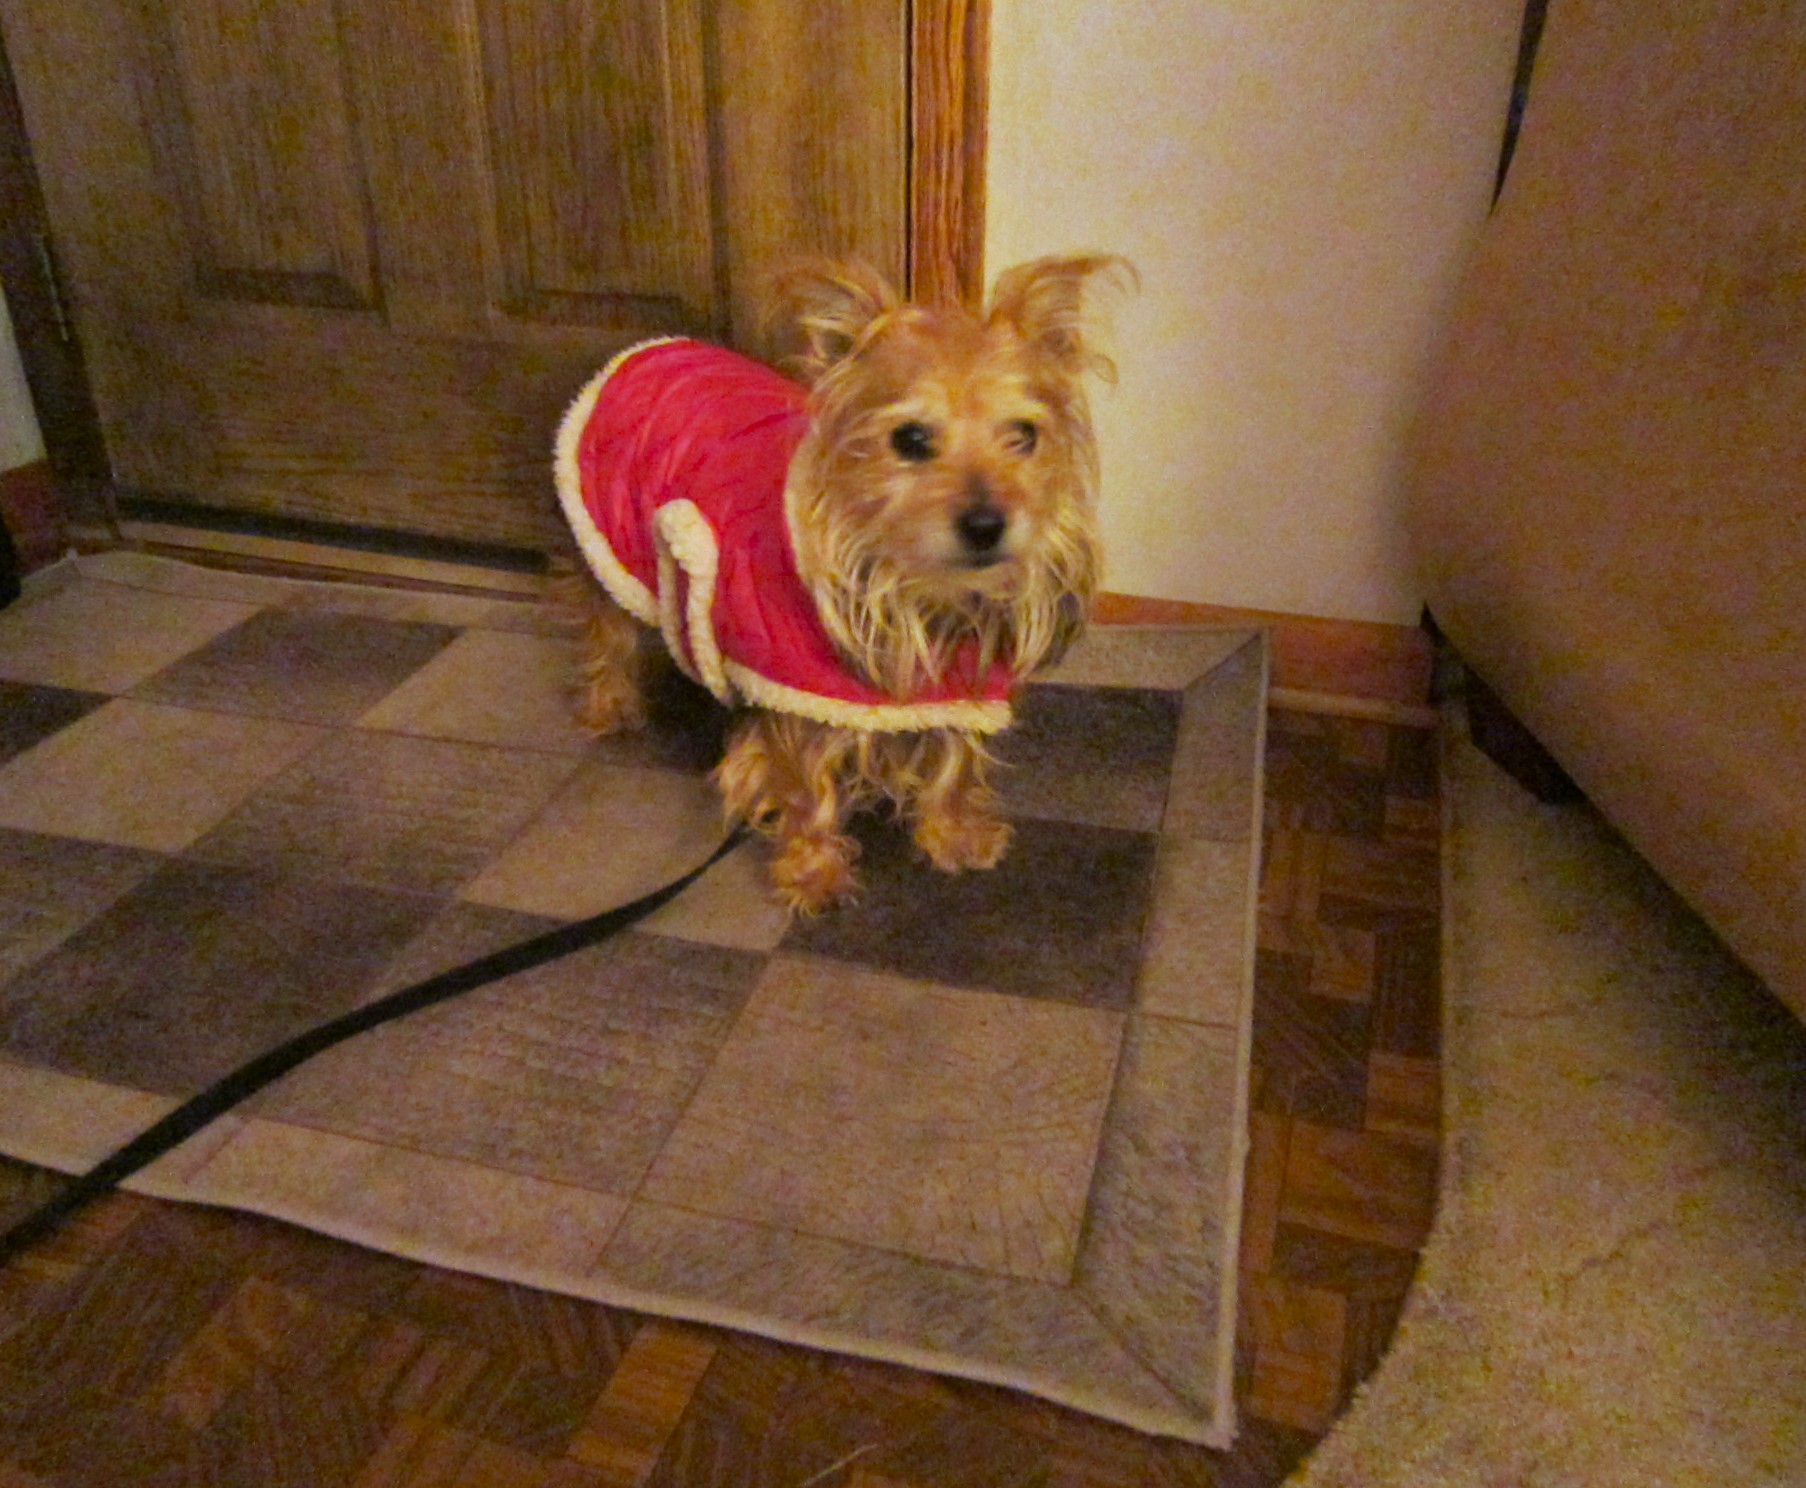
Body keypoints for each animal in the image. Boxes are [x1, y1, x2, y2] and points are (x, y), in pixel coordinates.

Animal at [552, 254, 1132, 914]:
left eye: (1025, 436)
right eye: (910, 439)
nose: (987, 524)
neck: (920, 592)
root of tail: (648, 348)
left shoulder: (961, 685)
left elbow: (955, 761)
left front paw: (955, 834)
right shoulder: (796, 694)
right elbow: (806, 790)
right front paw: (814, 874)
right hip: (609, 542)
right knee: (609, 635)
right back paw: (610, 708)